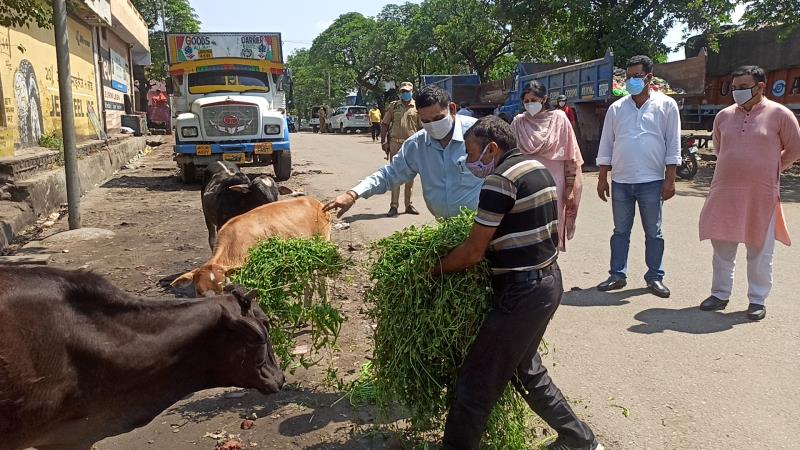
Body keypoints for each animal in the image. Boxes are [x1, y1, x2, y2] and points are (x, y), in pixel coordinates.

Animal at [172, 196, 332, 296]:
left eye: (222, 288)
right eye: (198, 291)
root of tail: (316, 203)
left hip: (323, 245)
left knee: (323, 279)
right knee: (309, 283)